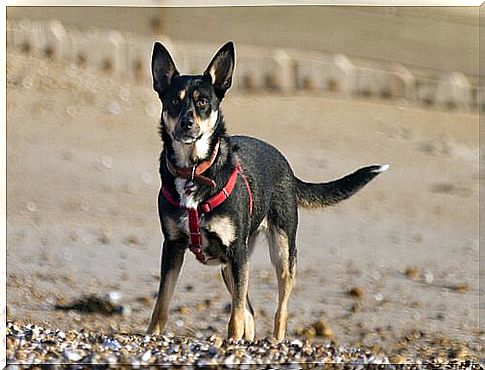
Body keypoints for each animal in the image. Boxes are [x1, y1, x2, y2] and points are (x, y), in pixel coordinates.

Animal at [146, 41, 388, 342]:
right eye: (174, 102)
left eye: (202, 102)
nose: (186, 124)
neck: (194, 170)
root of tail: (288, 168)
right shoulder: (173, 246)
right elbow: (162, 302)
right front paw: (151, 335)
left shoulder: (235, 253)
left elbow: (236, 314)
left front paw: (232, 340)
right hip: (232, 266)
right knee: (249, 309)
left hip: (281, 254)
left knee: (278, 309)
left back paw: (274, 340)